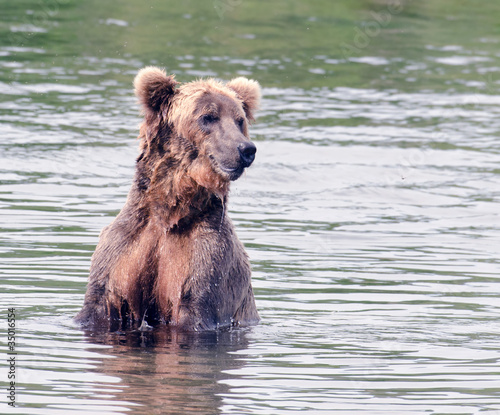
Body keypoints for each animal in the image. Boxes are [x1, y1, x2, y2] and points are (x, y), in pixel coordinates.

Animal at [77, 66, 262, 334]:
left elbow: (197, 304)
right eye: (208, 117)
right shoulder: (126, 245)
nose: (246, 149)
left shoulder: (207, 257)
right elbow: (99, 302)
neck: (170, 212)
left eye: (239, 120)